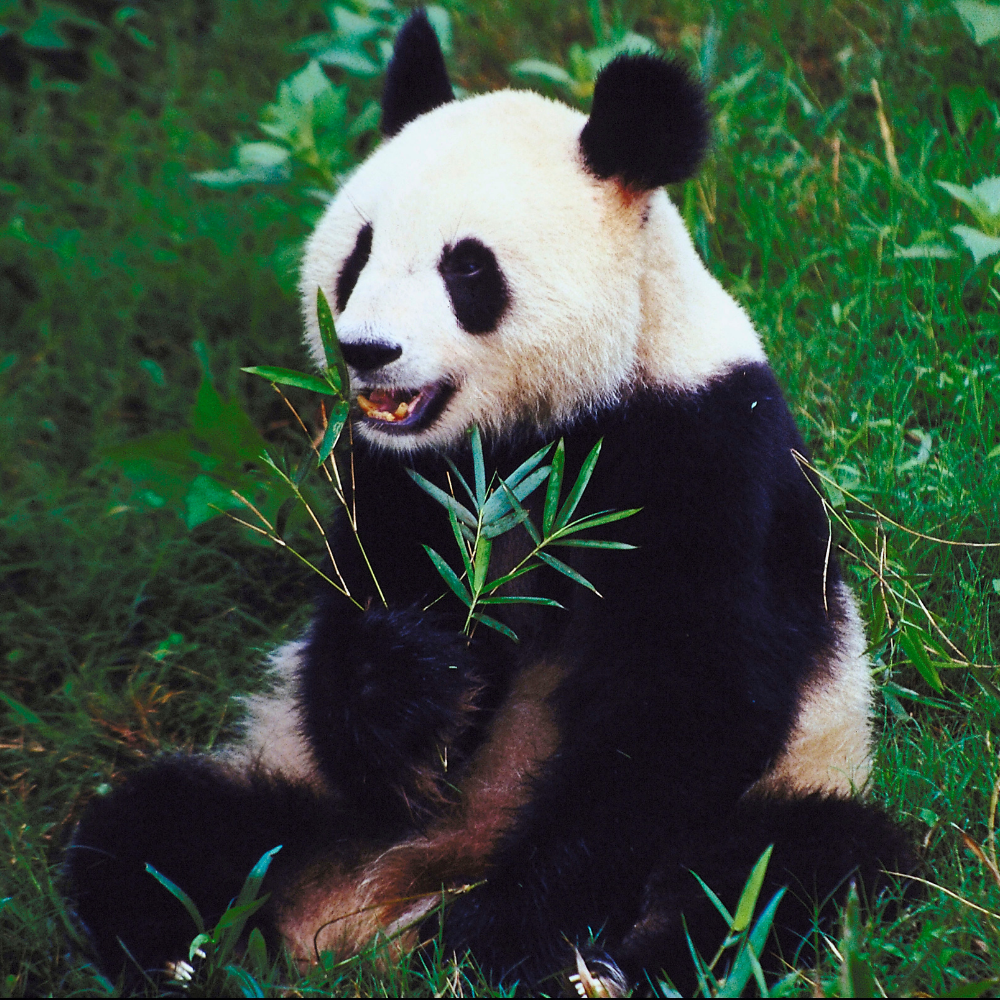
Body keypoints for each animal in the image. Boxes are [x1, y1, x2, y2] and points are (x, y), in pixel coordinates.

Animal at [67, 10, 913, 995]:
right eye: (358, 252)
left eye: (467, 270)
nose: (366, 351)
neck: (524, 439)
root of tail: (365, 920)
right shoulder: (396, 478)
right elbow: (353, 634)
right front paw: (412, 685)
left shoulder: (709, 454)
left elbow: (690, 704)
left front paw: (505, 929)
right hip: (303, 802)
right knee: (156, 830)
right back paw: (185, 952)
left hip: (810, 774)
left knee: (779, 871)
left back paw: (575, 961)